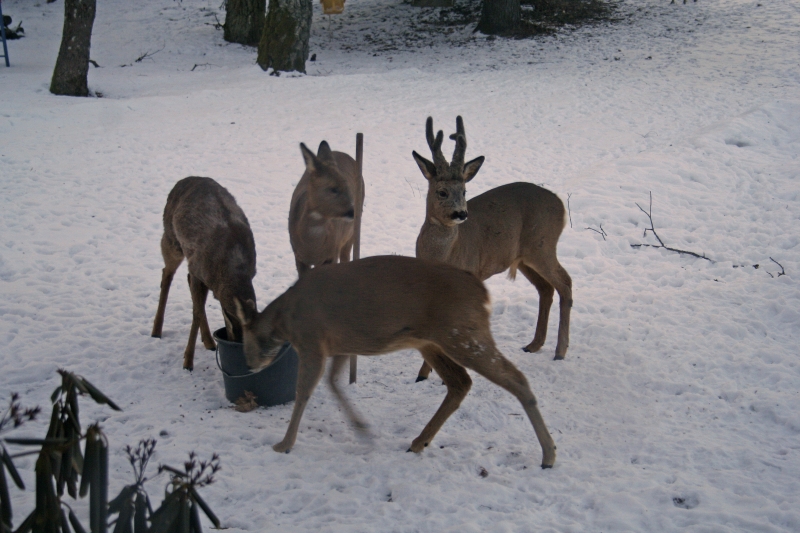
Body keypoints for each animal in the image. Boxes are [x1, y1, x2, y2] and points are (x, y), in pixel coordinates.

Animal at [152, 177, 258, 368]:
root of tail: (185, 179)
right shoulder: (197, 269)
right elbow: (196, 312)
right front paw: (188, 361)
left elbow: (199, 308)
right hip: (171, 239)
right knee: (166, 274)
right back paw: (156, 331)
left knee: (184, 281)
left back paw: (208, 341)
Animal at [410, 117, 572, 382]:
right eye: (442, 191)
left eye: (464, 191)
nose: (461, 213)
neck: (444, 254)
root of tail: (560, 204)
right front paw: (423, 374)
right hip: (524, 257)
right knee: (546, 288)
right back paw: (533, 344)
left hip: (543, 244)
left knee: (565, 282)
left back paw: (560, 351)